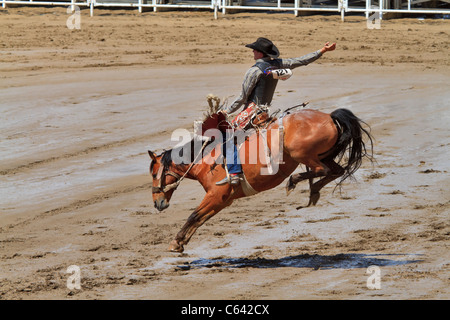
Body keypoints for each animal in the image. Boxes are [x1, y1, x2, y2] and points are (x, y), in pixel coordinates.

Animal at [148, 107, 372, 252]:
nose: (158, 203)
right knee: (336, 170)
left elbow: (194, 215)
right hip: (325, 155)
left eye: (153, 173)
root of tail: (329, 116)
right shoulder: (223, 201)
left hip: (303, 155)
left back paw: (295, 182)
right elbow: (200, 218)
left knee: (321, 170)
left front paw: (175, 242)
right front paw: (181, 242)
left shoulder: (216, 195)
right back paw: (314, 191)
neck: (206, 159)